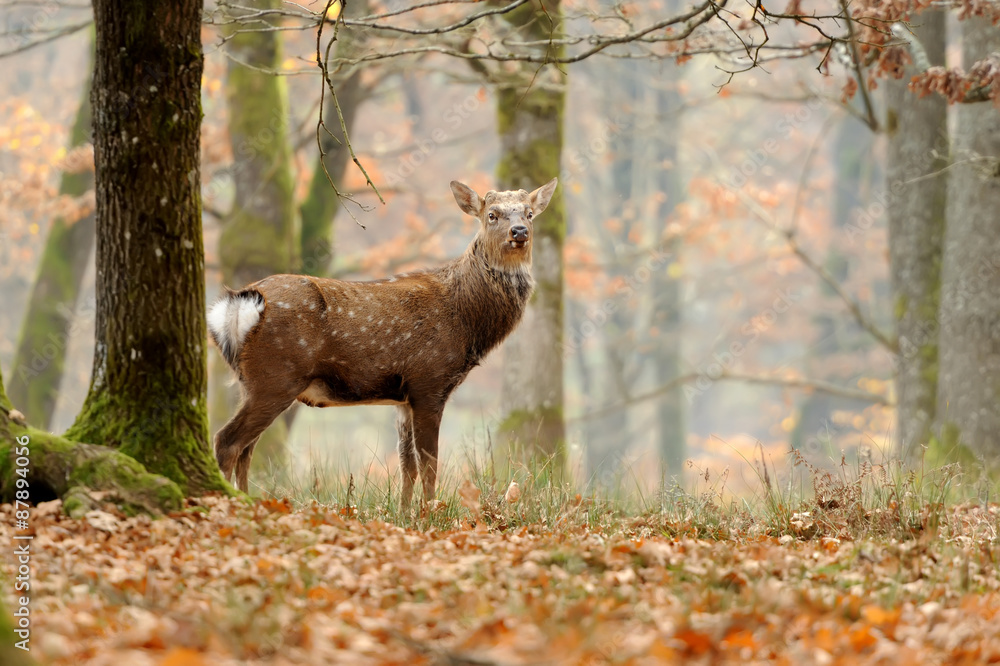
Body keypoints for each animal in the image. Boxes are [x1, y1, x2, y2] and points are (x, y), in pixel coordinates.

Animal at [208, 176, 560, 508]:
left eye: (529, 213)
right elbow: (429, 463)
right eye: (492, 214)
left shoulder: (403, 398)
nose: (519, 231)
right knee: (227, 441)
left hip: (254, 382)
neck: (466, 321)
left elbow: (407, 465)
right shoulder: (428, 381)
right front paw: (432, 511)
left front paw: (405, 513)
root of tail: (240, 302)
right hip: (276, 376)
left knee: (246, 449)